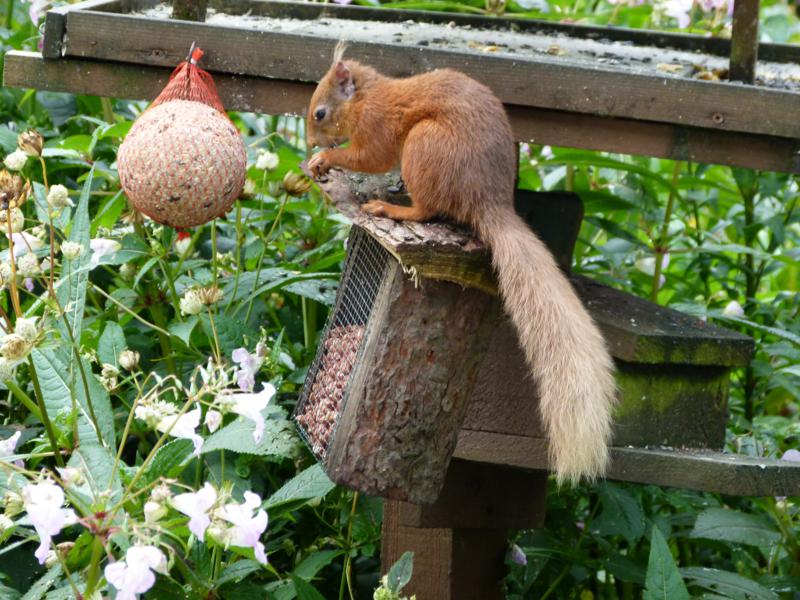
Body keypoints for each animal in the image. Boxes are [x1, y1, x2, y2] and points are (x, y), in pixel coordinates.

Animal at [310, 43, 616, 482]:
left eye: (320, 113)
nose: (309, 142)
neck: (367, 96)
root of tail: (488, 202)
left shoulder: (378, 127)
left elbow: (370, 157)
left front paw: (324, 159)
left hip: (423, 146)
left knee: (427, 209)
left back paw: (393, 207)